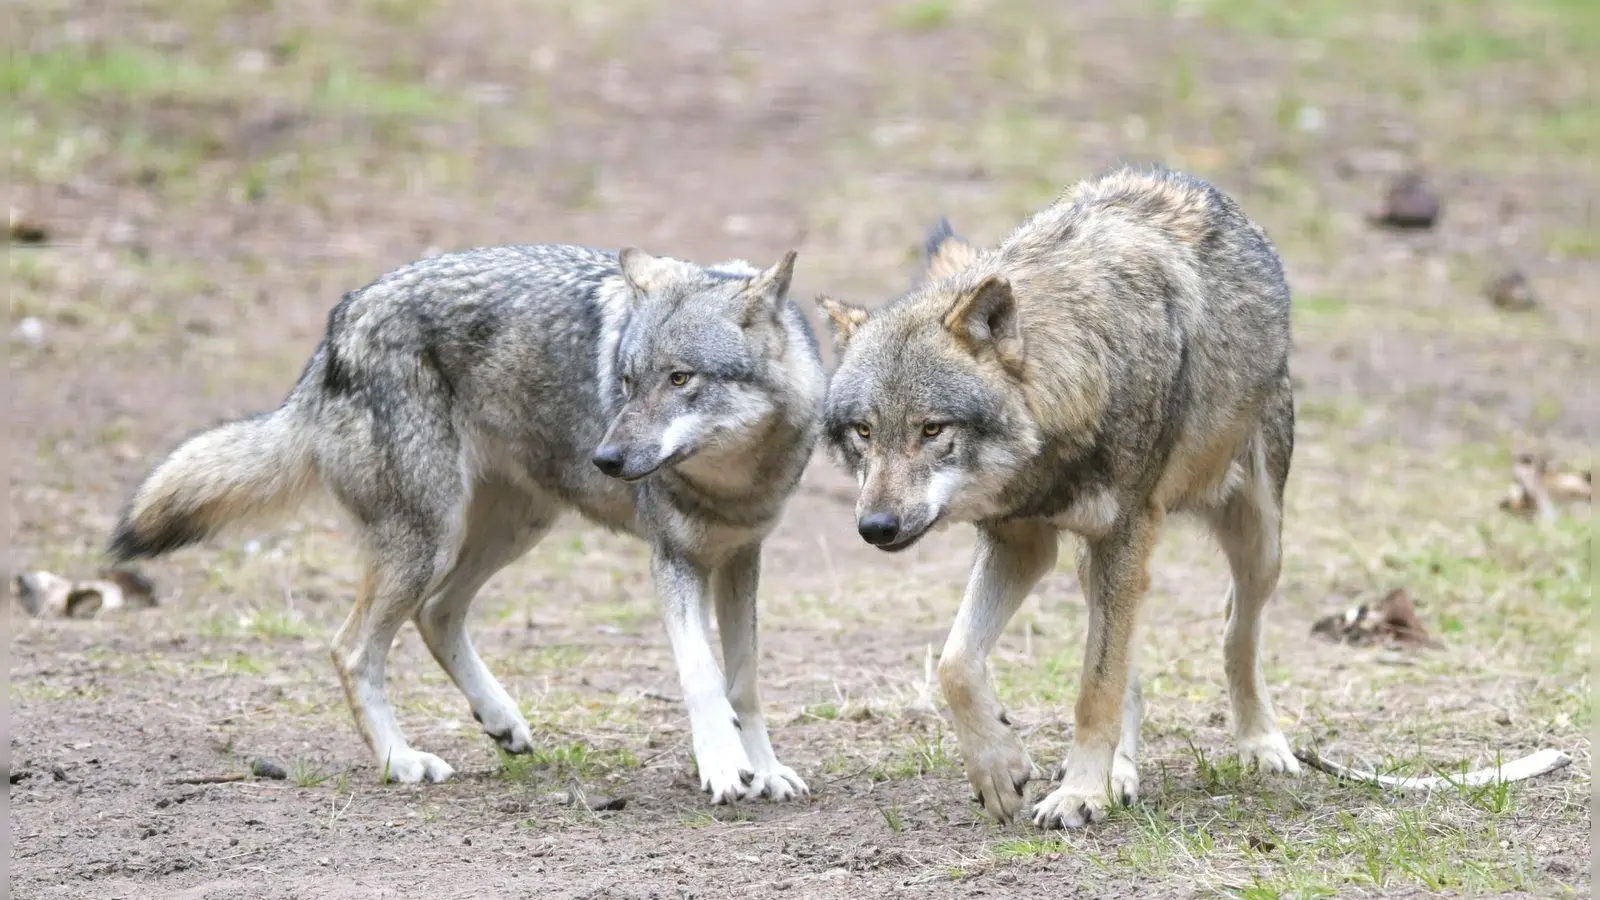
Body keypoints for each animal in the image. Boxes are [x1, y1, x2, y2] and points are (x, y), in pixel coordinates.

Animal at [106, 240, 825, 797]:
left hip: (511, 530)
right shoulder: (674, 562)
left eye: (679, 379)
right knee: (351, 648)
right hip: (430, 541)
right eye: (625, 383)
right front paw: (724, 769)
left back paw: (499, 721)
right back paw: (401, 762)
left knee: (436, 615)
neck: (734, 480)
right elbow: (703, 676)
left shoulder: (740, 559)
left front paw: (765, 769)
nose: (606, 458)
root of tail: (338, 326)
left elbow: (744, 682)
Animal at [819, 166, 1292, 826]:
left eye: (932, 429)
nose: (876, 527)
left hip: (1256, 542)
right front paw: (1001, 769)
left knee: (1233, 631)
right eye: (864, 431)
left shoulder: (1123, 534)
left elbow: (1096, 687)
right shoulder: (1020, 542)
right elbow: (956, 663)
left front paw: (1078, 793)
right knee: (1133, 667)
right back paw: (1121, 774)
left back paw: (1260, 744)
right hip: (1101, 564)